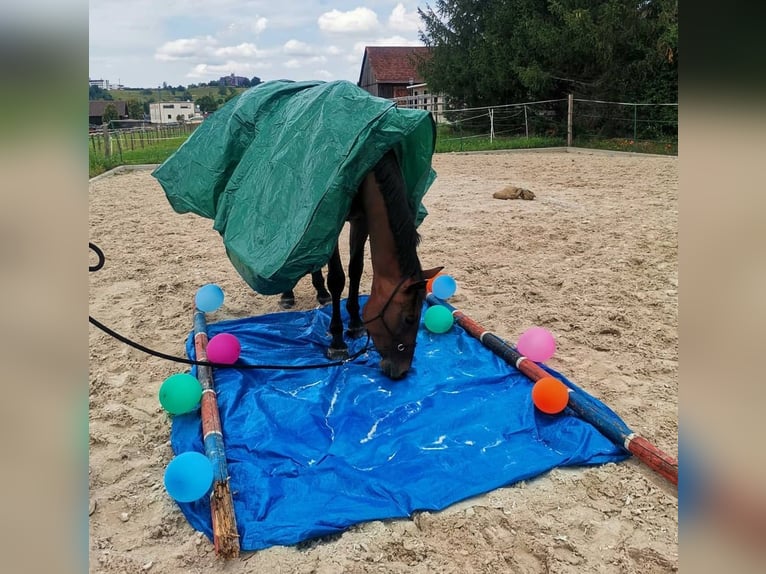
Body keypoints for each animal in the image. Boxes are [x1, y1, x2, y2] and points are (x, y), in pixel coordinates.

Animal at [316, 151, 440, 380]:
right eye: (409, 319)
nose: (402, 370)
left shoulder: (362, 219)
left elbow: (355, 269)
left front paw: (356, 322)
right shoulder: (330, 224)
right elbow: (337, 279)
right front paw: (337, 340)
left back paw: (320, 292)